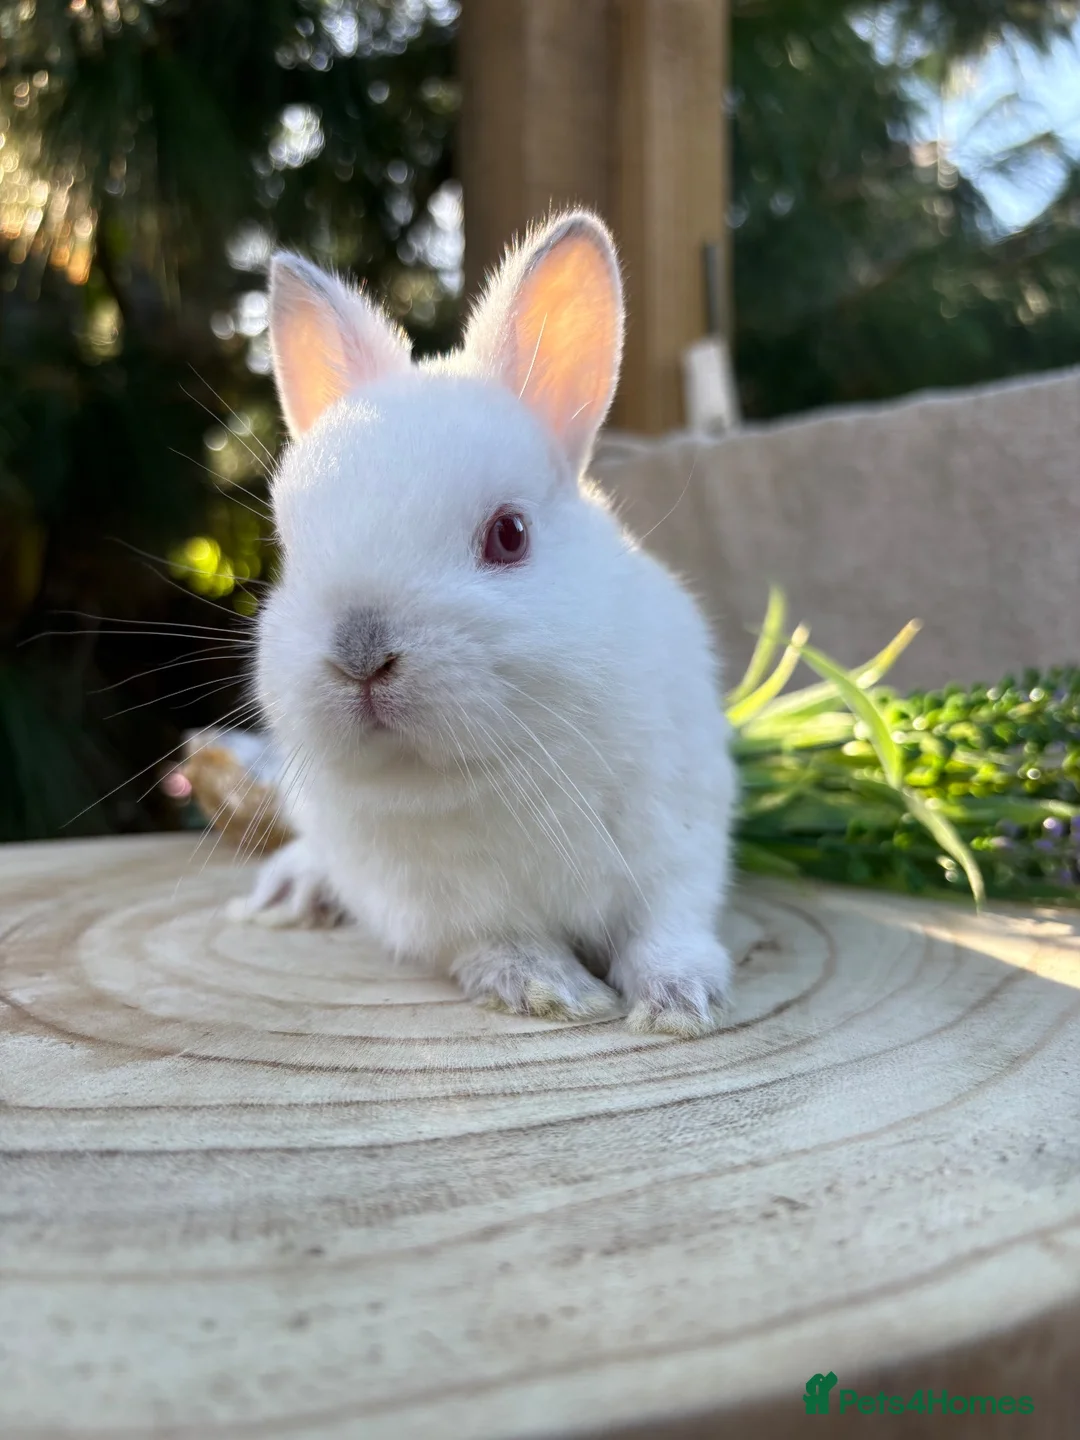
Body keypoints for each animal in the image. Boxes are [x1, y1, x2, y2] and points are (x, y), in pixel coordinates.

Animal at [230, 209, 738, 1036]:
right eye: (290, 547)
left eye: (509, 535)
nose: (360, 655)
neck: (497, 765)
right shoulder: (437, 907)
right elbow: (499, 941)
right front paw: (552, 989)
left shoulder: (680, 843)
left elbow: (667, 927)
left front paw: (679, 1003)